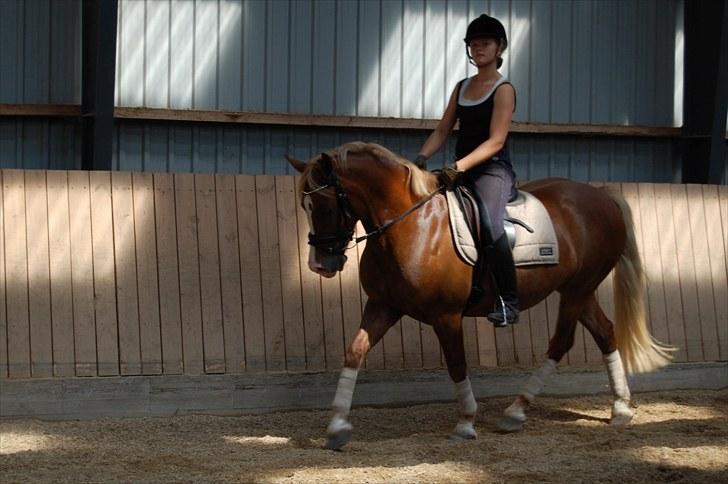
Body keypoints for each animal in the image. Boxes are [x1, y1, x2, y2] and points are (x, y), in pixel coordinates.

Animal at [286, 141, 674, 450]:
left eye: (325, 205)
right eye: (306, 208)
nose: (319, 264)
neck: (410, 226)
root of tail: (602, 195)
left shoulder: (446, 316)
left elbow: (457, 364)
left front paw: (466, 423)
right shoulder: (384, 306)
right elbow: (354, 352)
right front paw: (337, 426)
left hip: (578, 289)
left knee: (561, 341)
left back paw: (517, 410)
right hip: (579, 289)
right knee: (604, 332)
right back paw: (620, 407)